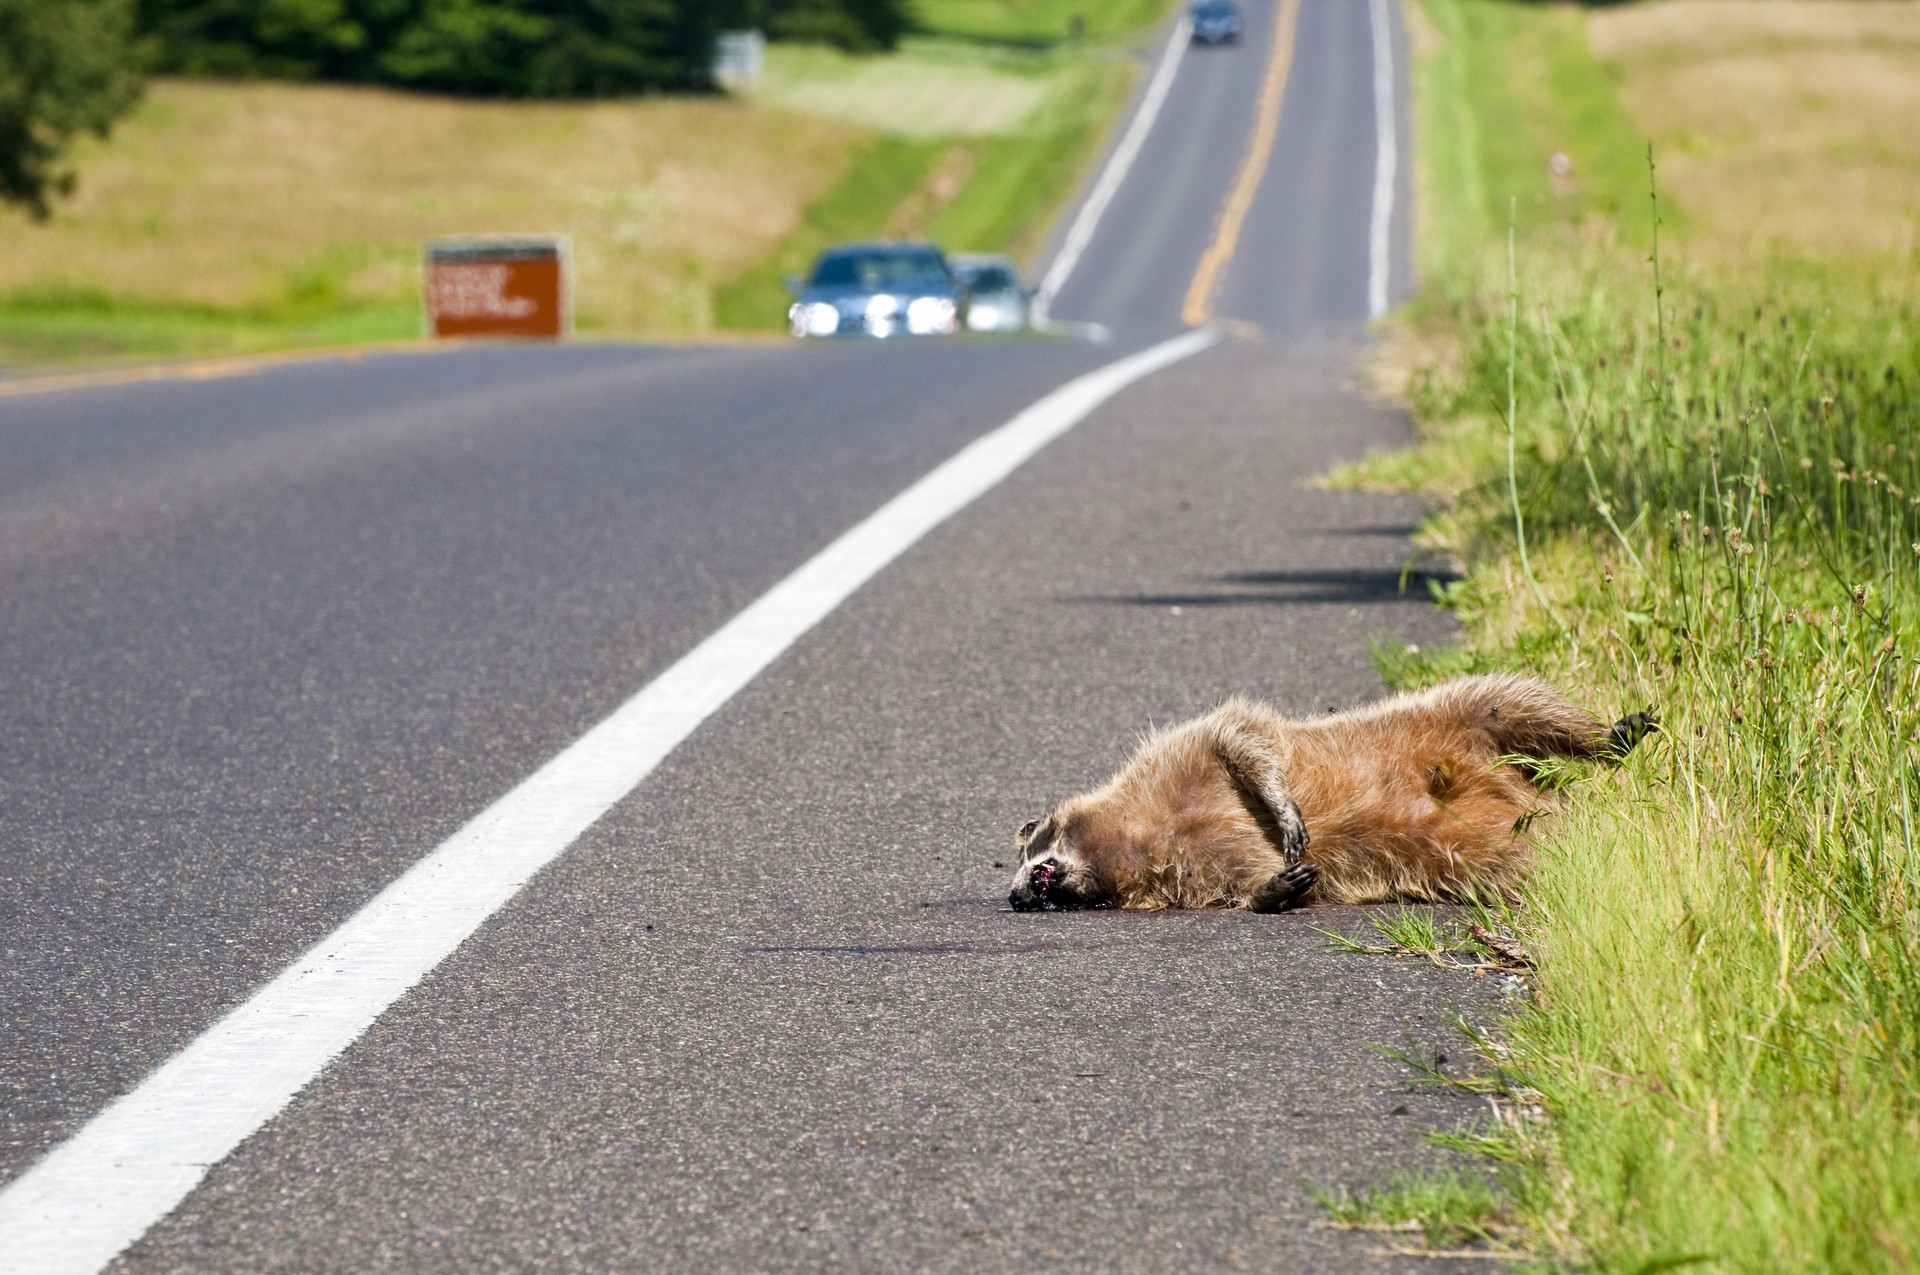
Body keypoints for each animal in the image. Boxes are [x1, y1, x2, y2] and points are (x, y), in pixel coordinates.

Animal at [1006, 672, 1651, 910]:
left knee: (1510, 700)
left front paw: (1281, 804)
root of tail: (1537, 800)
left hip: (1447, 716)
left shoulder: (1182, 754)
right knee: (1529, 864)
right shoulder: (1195, 870)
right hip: (1492, 850)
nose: (1016, 895)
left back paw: (1609, 738)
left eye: (1027, 849)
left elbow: (1240, 738)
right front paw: (1271, 890)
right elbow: (1247, 882)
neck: (1131, 835)